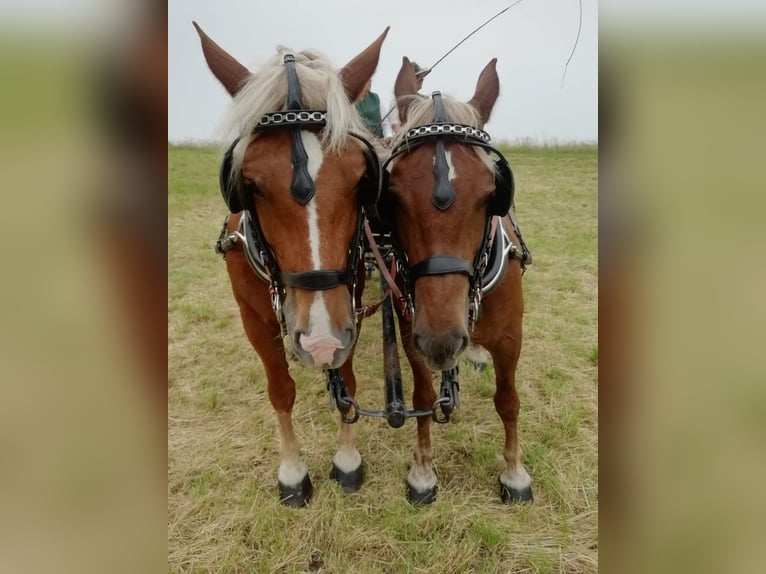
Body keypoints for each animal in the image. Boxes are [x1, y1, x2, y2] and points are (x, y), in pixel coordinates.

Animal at [194, 23, 390, 508]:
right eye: (249, 183)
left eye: (361, 178)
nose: (319, 342)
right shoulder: (254, 318)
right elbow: (280, 390)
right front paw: (293, 471)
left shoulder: (347, 307)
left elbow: (347, 383)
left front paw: (347, 459)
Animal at [380, 58, 536, 506]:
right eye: (391, 196)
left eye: (491, 194)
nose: (442, 339)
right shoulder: (412, 333)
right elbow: (422, 397)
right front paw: (422, 470)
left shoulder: (511, 338)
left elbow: (508, 401)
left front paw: (514, 472)